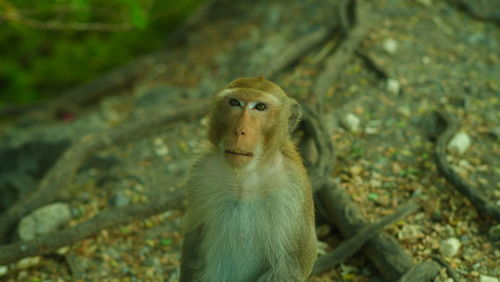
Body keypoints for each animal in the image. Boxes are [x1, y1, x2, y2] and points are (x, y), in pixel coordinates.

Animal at [180, 77, 316, 282]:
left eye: (260, 107)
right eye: (235, 103)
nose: (239, 131)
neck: (243, 178)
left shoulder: (293, 189)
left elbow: (291, 267)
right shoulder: (200, 171)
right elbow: (193, 243)